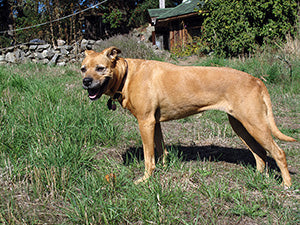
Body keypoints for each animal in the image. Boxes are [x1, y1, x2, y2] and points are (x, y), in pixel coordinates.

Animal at [81, 46, 296, 187]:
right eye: (83, 68)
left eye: (100, 68)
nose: (86, 81)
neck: (127, 75)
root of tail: (257, 80)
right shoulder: (155, 123)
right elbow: (161, 150)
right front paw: (163, 169)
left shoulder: (145, 122)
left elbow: (149, 157)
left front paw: (145, 179)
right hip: (241, 126)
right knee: (260, 153)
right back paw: (258, 177)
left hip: (255, 124)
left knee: (278, 153)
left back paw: (286, 185)